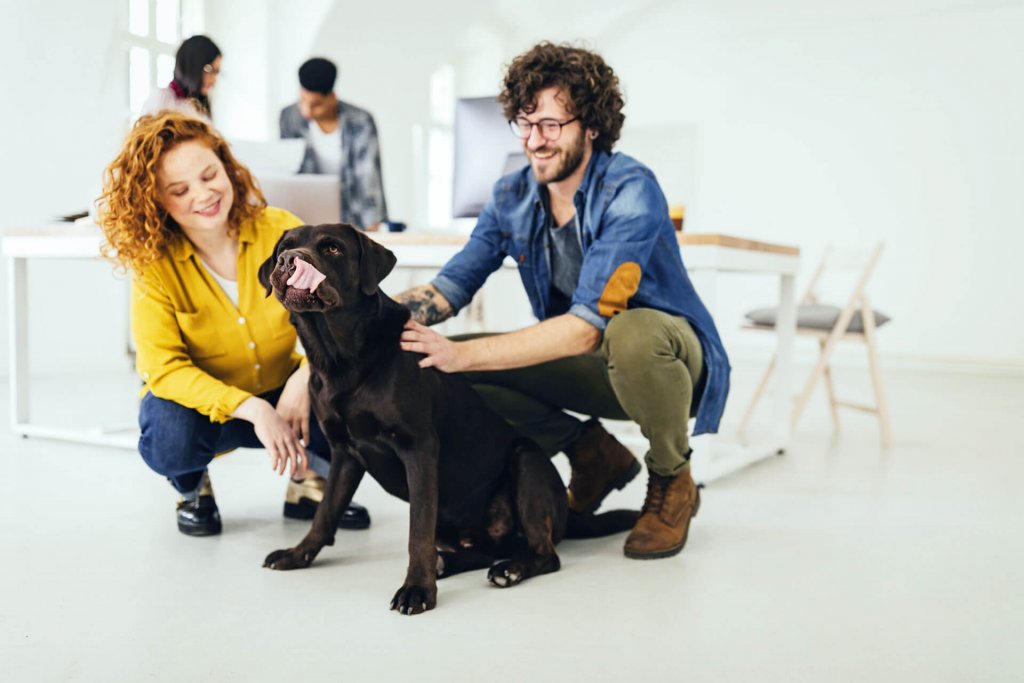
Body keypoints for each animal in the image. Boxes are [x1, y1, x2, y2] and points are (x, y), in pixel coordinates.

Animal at [260, 227, 634, 618]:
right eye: (284, 248)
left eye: (332, 248)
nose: (289, 260)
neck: (339, 358)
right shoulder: (344, 452)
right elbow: (325, 513)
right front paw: (297, 554)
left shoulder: (418, 449)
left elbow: (417, 533)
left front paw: (417, 590)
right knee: (483, 551)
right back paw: (450, 563)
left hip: (527, 463)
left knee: (545, 553)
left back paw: (510, 570)